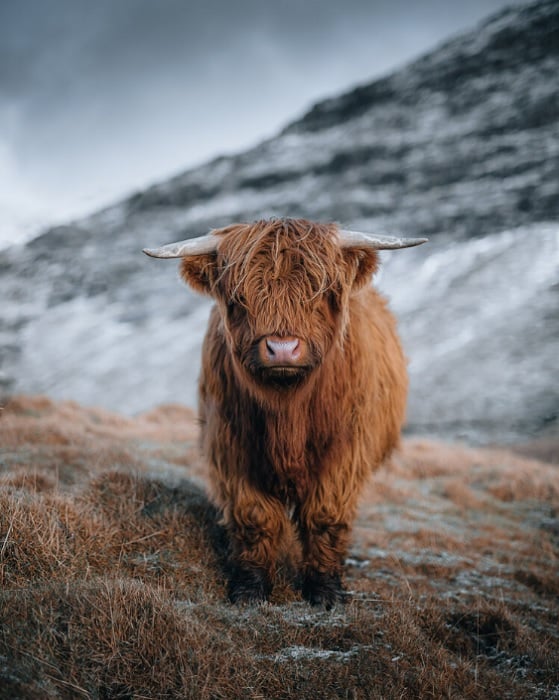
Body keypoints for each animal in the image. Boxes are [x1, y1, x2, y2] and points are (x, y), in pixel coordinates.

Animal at [144, 218, 426, 607]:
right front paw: (250, 588)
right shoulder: (233, 450)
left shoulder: (344, 454)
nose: (282, 348)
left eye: (320, 293)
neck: (287, 412)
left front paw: (324, 590)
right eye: (239, 298)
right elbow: (254, 517)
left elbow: (325, 516)